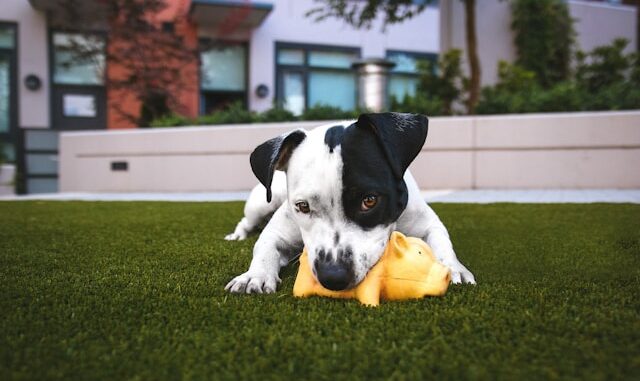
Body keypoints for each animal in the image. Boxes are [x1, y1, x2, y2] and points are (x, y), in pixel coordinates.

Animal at [225, 111, 476, 292]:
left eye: (369, 200)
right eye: (303, 206)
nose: (333, 276)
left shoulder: (427, 223)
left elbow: (442, 242)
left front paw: (453, 268)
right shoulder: (278, 232)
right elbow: (264, 247)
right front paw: (254, 275)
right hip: (262, 203)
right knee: (246, 222)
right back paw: (237, 235)